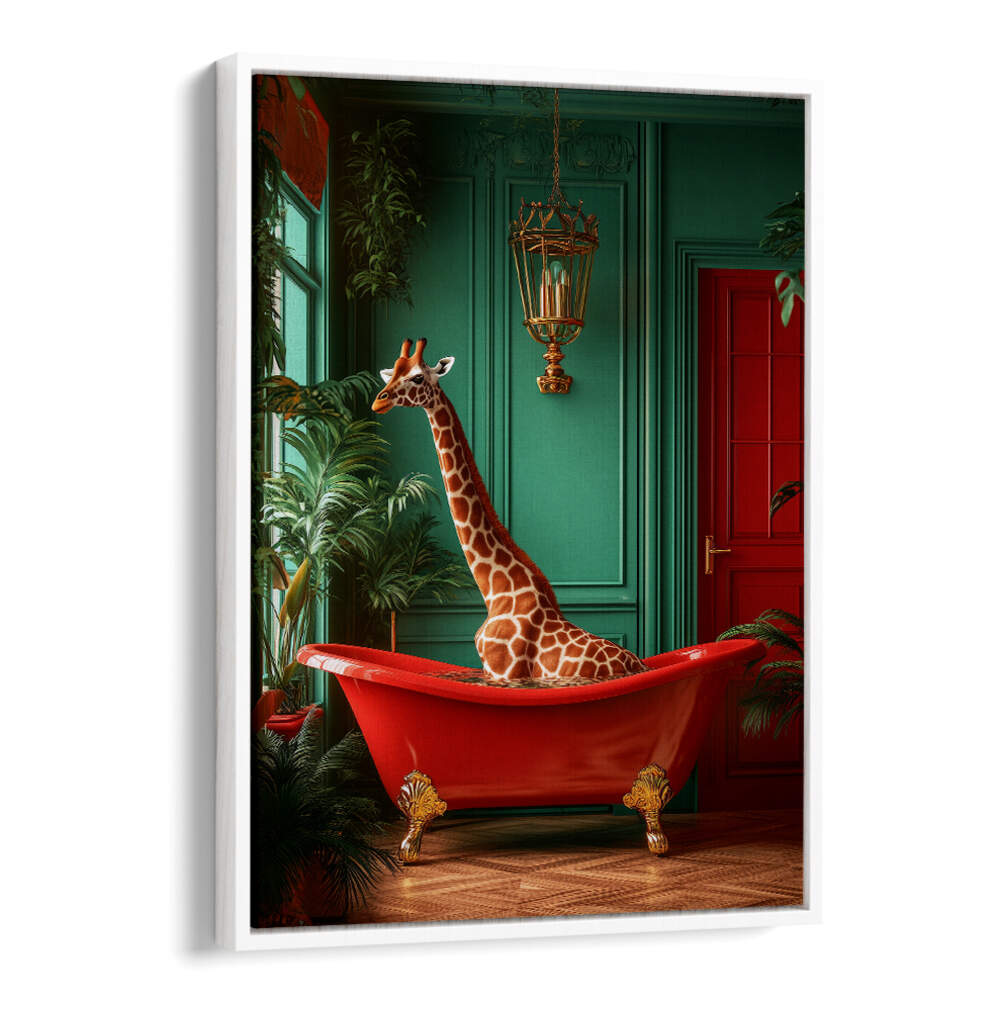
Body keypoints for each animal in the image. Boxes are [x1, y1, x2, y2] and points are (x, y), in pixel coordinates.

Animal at [372, 338, 647, 683]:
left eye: (418, 377)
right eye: (392, 373)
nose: (378, 402)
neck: (495, 591)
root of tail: (639, 665)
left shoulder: (504, 671)